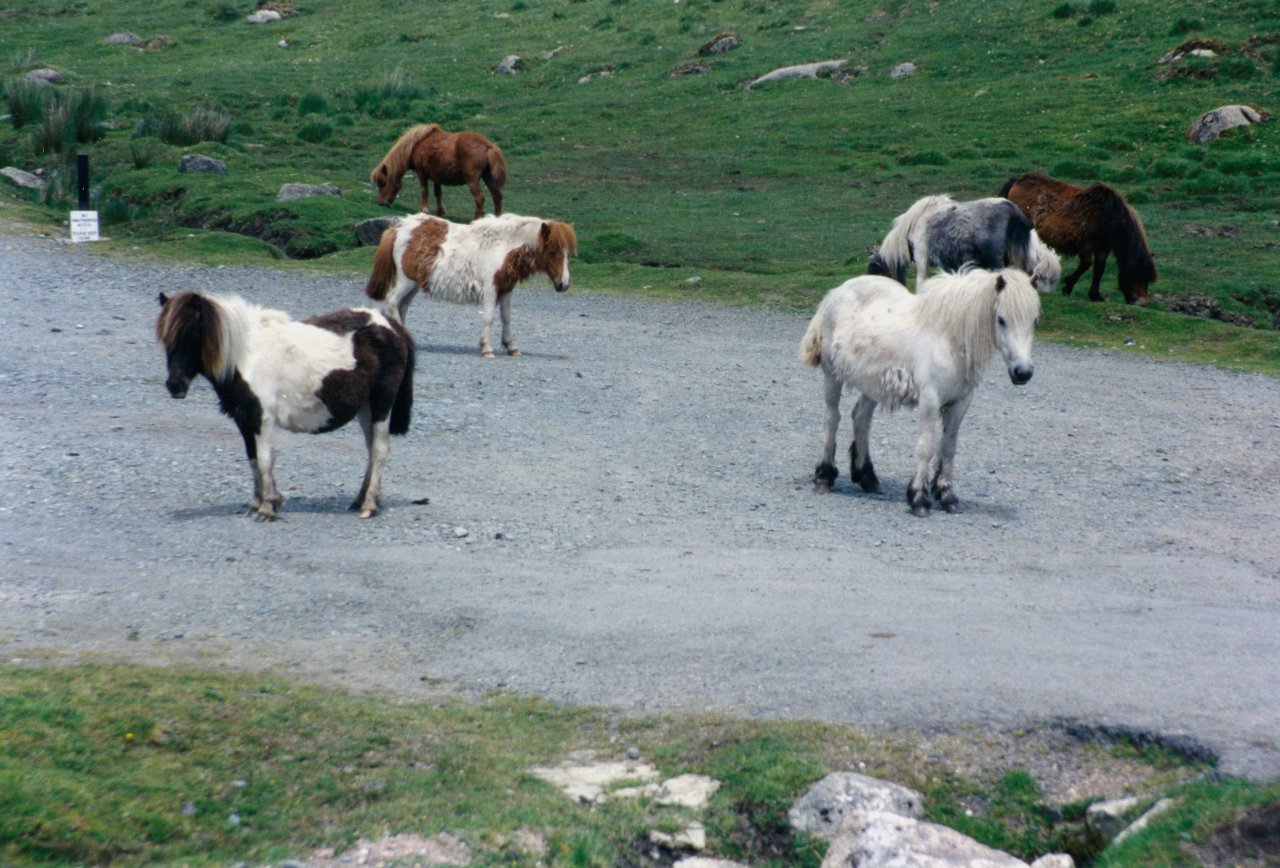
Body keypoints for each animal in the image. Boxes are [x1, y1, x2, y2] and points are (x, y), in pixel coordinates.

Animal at [156, 292, 415, 520]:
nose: (175, 385)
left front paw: (268, 507)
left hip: (381, 403)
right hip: (365, 408)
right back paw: (361, 499)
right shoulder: (243, 419)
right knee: (371, 448)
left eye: (193, 333)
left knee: (380, 449)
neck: (245, 354)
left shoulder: (261, 418)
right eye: (165, 338)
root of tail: (392, 327)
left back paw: (369, 505)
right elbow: (253, 459)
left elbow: (265, 459)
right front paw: (258, 503)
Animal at [364, 212, 577, 358]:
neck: (503, 248)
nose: (564, 284)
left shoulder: (506, 289)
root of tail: (398, 228)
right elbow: (489, 317)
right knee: (393, 302)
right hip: (406, 281)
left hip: (414, 284)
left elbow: (507, 318)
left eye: (567, 253)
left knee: (402, 306)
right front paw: (487, 348)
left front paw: (511, 347)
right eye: (552, 252)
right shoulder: (491, 289)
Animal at [370, 123, 507, 220]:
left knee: (479, 198)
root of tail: (487, 145)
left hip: (472, 179)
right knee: (497, 196)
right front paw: (439, 212)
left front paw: (424, 210)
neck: (417, 145)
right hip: (487, 177)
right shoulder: (437, 177)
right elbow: (438, 194)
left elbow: (424, 191)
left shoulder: (422, 173)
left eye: (381, 182)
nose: (382, 203)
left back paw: (476, 219)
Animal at [799, 268, 1041, 517]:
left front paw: (946, 495)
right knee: (831, 418)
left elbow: (949, 447)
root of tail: (835, 293)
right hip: (831, 375)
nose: (1023, 372)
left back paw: (867, 476)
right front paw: (918, 498)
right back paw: (824, 476)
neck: (949, 340)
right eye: (1001, 319)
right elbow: (926, 447)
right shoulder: (930, 401)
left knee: (861, 418)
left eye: (1034, 320)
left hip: (873, 383)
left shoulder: (960, 403)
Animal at [999, 172, 1156, 305]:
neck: (1106, 216)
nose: (1141, 302)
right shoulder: (1085, 244)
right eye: (1138, 275)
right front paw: (1067, 286)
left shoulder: (1103, 248)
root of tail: (1017, 181)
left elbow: (1099, 268)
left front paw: (1095, 295)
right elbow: (1085, 264)